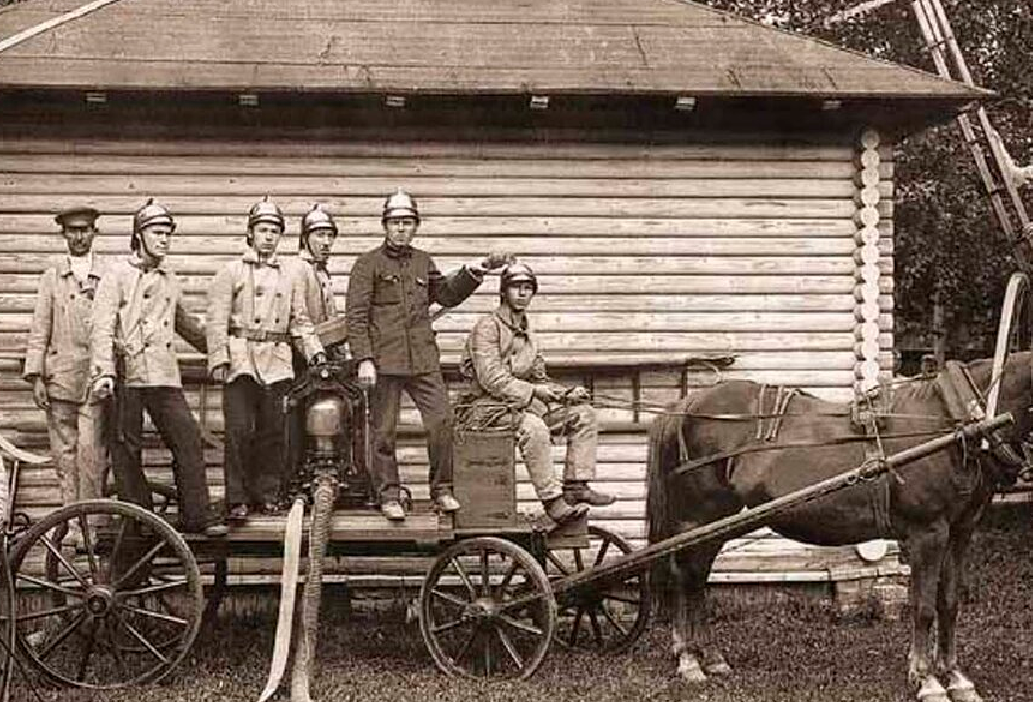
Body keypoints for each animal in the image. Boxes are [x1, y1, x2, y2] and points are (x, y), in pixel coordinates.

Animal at [640, 351, 1028, 702]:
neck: (955, 422)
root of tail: (684, 407)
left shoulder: (960, 533)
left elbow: (948, 603)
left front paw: (956, 678)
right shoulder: (926, 534)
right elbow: (923, 608)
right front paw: (927, 680)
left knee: (696, 580)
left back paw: (711, 658)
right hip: (699, 519)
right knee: (685, 578)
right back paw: (690, 660)